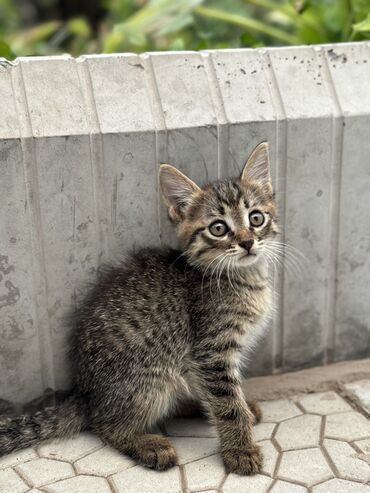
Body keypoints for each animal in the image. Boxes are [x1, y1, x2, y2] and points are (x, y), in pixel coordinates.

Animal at [0, 141, 278, 472]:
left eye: (256, 218)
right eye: (218, 228)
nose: (248, 242)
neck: (241, 277)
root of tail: (84, 394)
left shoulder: (206, 358)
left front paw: (242, 416)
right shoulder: (210, 352)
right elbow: (226, 403)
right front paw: (240, 449)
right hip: (151, 379)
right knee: (104, 425)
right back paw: (147, 444)